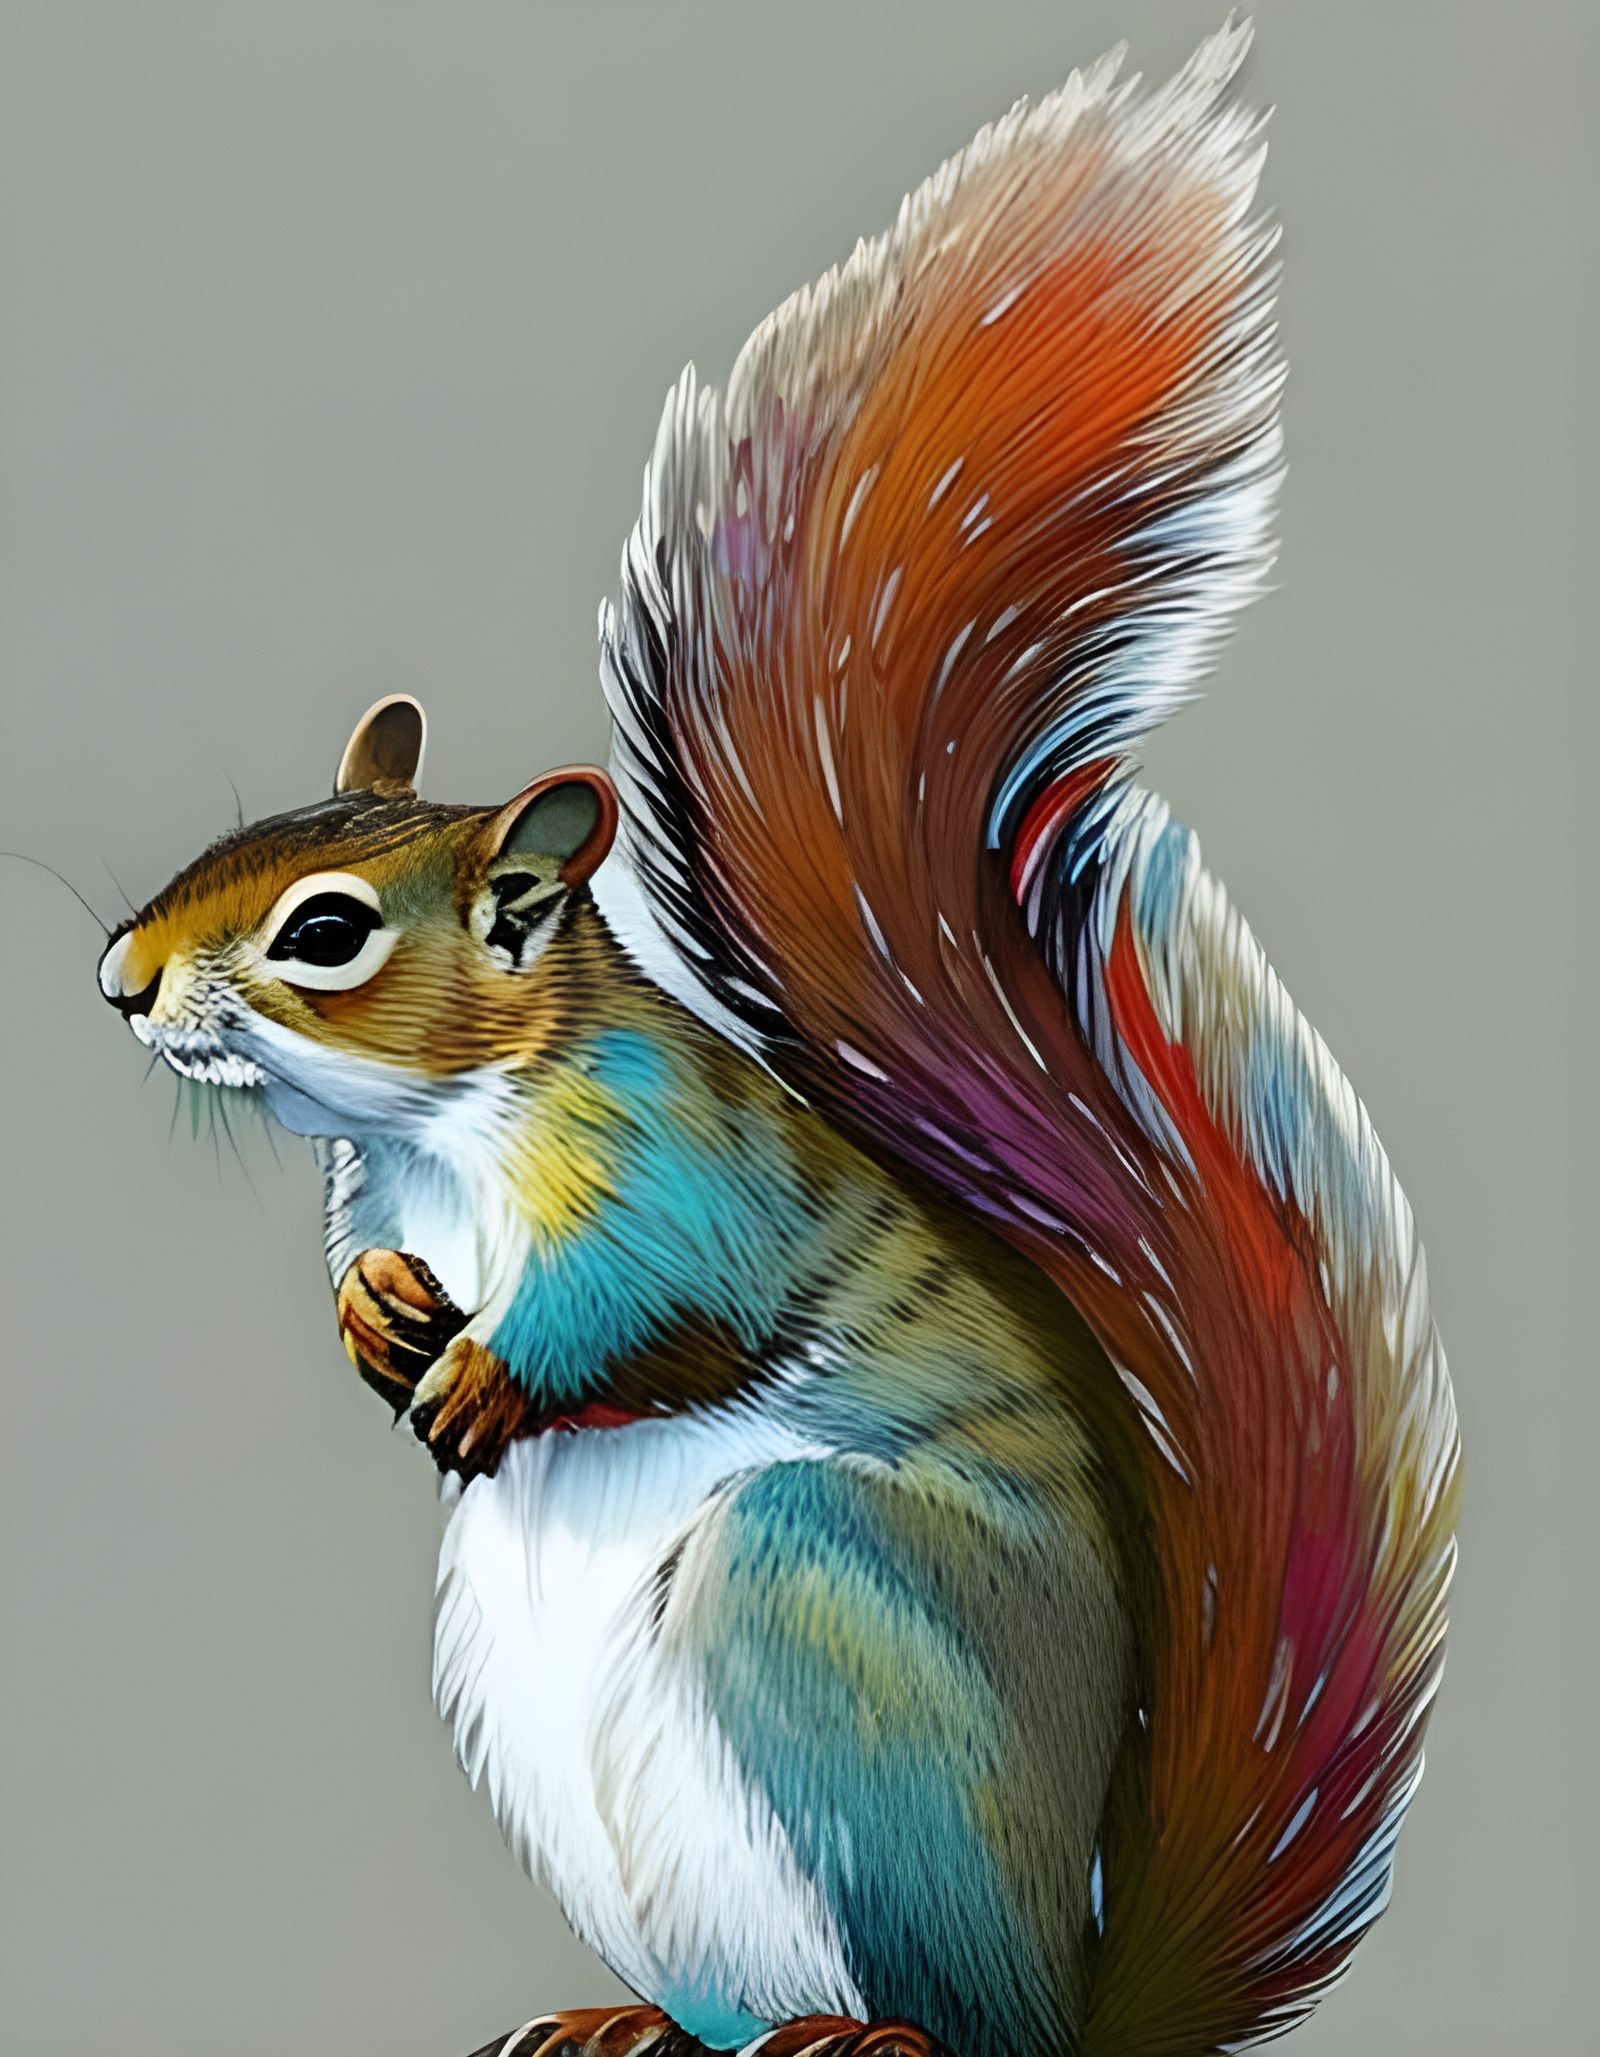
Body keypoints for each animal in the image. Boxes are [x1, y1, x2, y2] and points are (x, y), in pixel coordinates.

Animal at [96, 24, 1458, 2057]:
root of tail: (1082, 1992)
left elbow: (657, 1300)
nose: (116, 978)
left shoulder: (675, 1168)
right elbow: (369, 1274)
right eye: (241, 842)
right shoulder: (386, 1190)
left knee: (935, 2002)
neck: (454, 1118)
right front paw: (383, 1325)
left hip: (815, 1612)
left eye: (323, 932)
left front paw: (490, 1374)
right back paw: (630, 2024)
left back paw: (864, 2031)